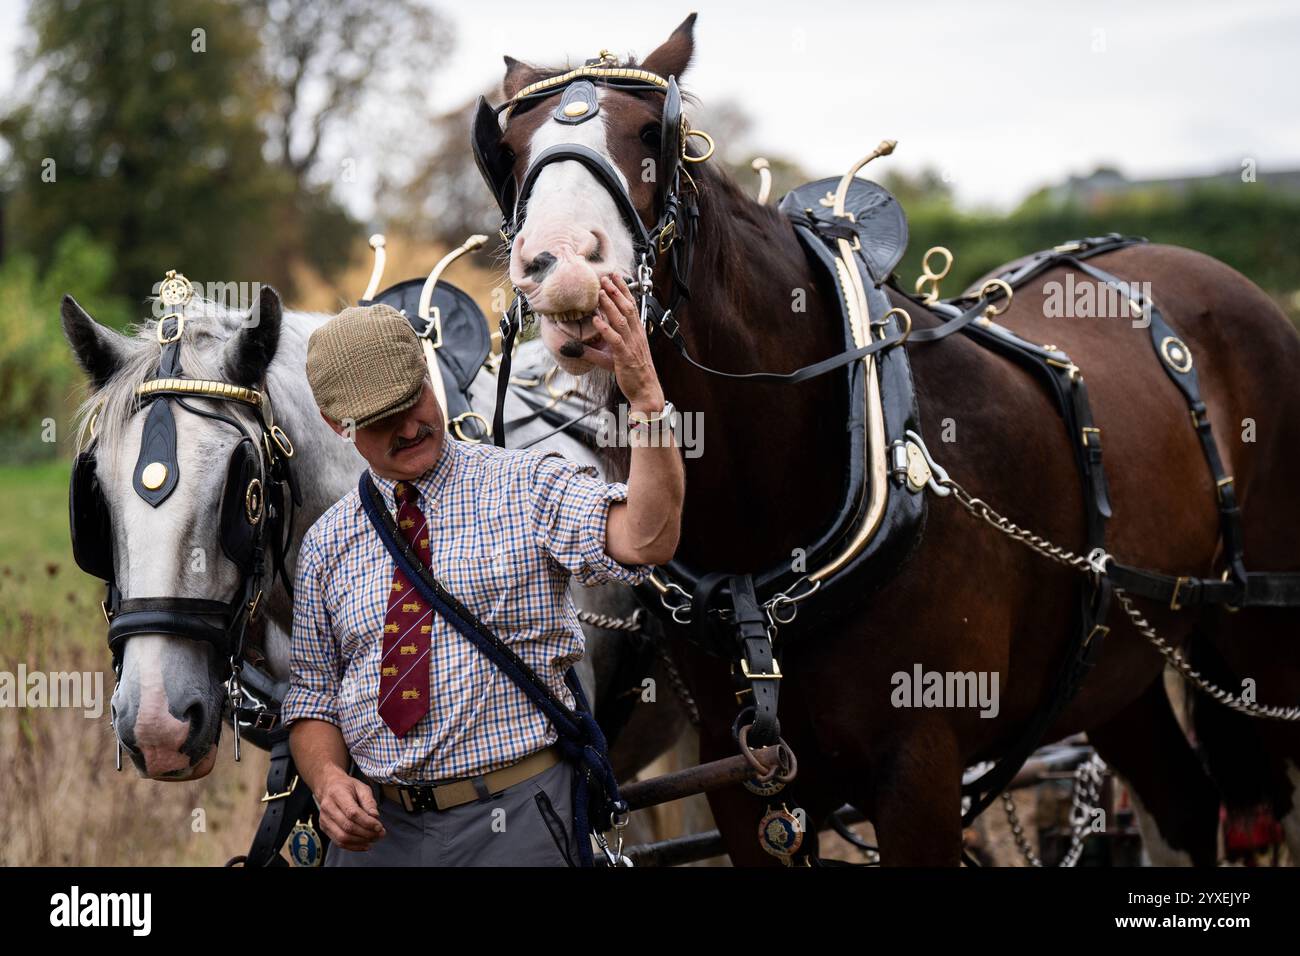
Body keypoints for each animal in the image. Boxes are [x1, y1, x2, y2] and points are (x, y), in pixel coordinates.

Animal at [472, 14, 1300, 865]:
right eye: (510, 150)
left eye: (651, 134)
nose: (561, 268)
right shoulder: (741, 778)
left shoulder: (919, 770)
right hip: (1119, 672)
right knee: (1187, 808)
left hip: (1268, 633)